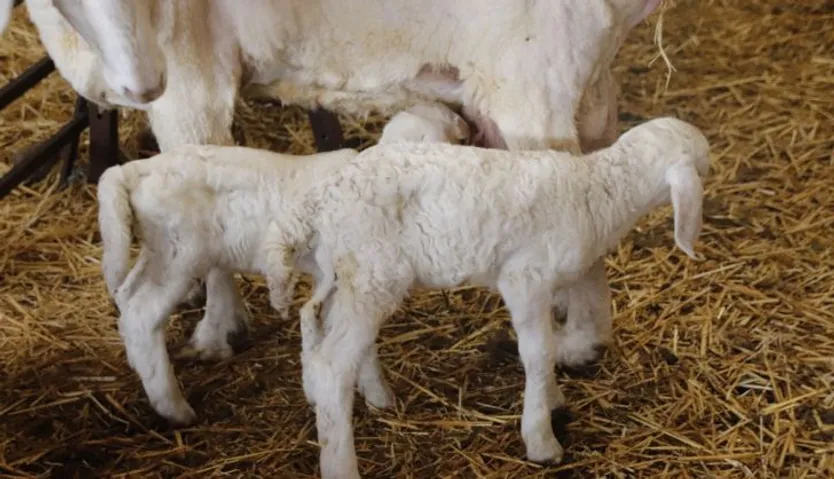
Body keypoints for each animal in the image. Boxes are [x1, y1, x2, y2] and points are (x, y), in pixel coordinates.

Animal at [254, 117, 711, 478]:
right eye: (703, 165)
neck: (596, 192)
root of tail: (317, 204)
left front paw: (552, 402)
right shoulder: (524, 278)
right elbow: (539, 353)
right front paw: (541, 439)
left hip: (348, 274)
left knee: (321, 325)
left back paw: (374, 396)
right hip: (373, 271)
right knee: (333, 367)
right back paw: (340, 463)